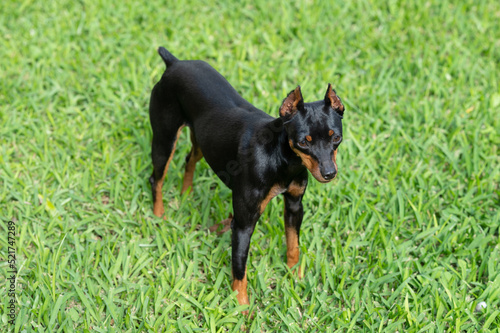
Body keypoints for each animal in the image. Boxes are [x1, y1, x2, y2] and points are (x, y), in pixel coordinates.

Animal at [147, 47, 344, 312]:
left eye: (336, 138)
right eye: (304, 142)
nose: (329, 173)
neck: (280, 159)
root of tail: (174, 63)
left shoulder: (294, 206)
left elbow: (293, 245)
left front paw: (295, 277)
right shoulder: (243, 224)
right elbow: (239, 270)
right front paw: (242, 308)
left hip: (202, 142)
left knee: (189, 159)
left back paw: (185, 194)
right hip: (164, 140)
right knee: (155, 179)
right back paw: (159, 216)